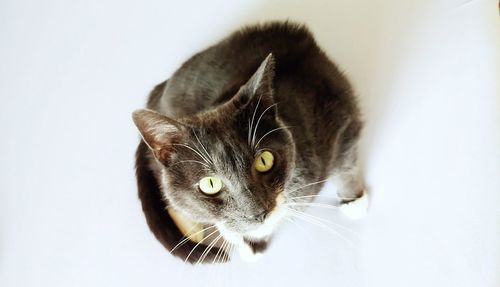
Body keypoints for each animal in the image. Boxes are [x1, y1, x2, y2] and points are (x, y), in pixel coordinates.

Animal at [133, 22, 368, 266]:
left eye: (264, 160)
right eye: (210, 184)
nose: (258, 214)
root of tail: (158, 91)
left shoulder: (340, 114)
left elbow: (346, 162)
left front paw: (354, 201)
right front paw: (250, 241)